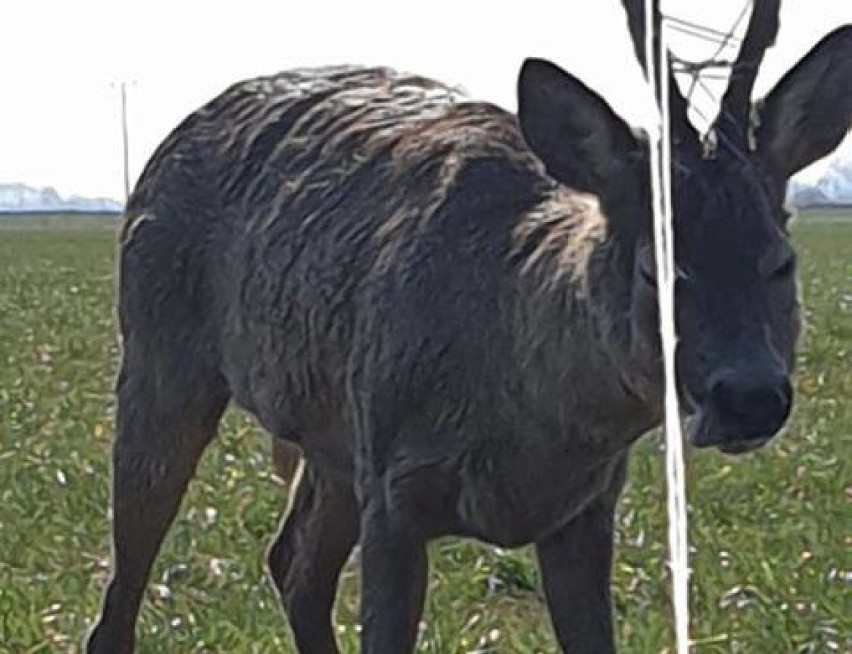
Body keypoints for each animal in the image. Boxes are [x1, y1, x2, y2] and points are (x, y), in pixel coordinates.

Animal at [88, 0, 852, 652]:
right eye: (655, 269)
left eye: (780, 261)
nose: (750, 396)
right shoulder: (393, 490)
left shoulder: (587, 505)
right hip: (158, 351)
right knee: (124, 591)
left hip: (334, 436)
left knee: (294, 565)